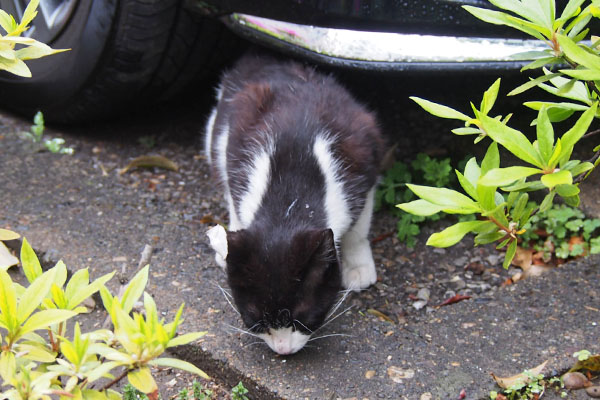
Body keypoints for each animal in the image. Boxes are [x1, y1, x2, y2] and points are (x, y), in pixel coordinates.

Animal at [206, 54, 384, 354]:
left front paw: (358, 263)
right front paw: (228, 242)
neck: (289, 202)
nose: (283, 350)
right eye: (256, 321)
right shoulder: (235, 152)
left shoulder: (365, 157)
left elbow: (359, 226)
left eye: (304, 318)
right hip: (219, 132)